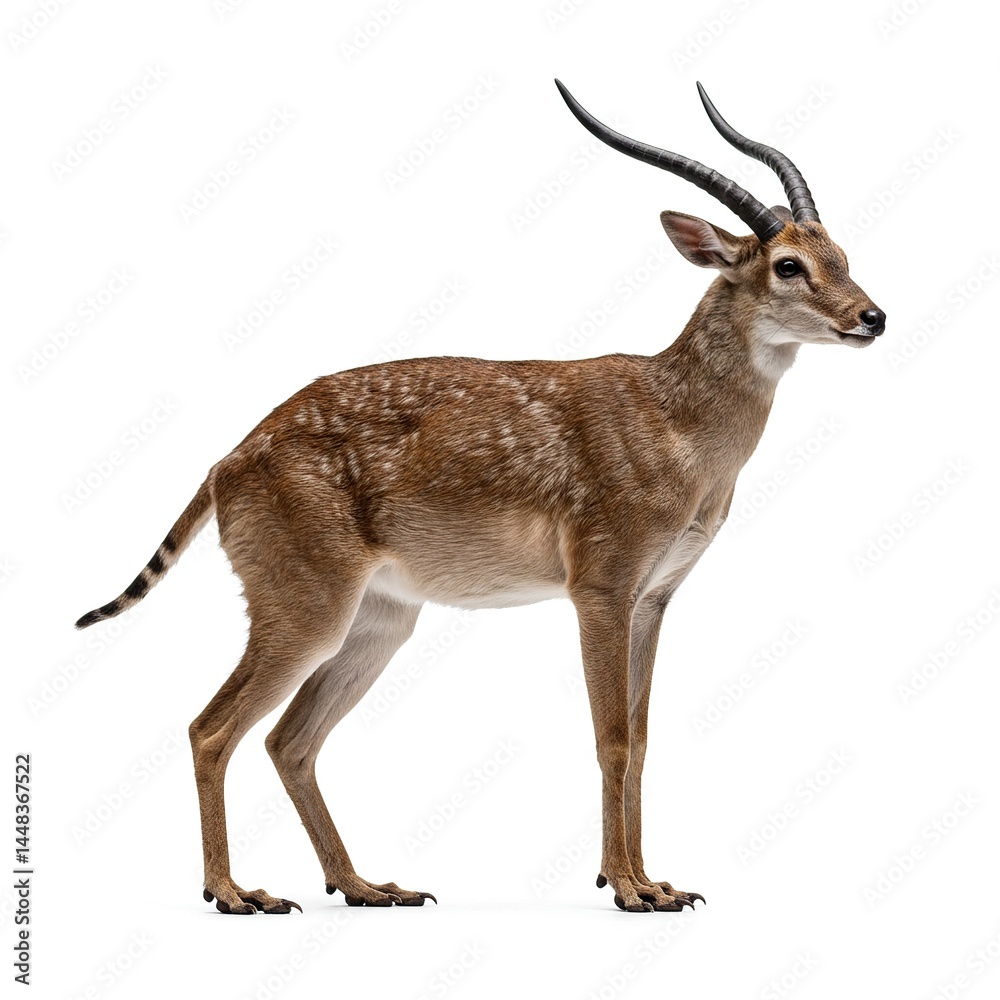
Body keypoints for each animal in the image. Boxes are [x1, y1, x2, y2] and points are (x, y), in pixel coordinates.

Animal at [75, 80, 885, 914]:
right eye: (788, 265)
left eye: (842, 256)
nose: (872, 317)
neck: (674, 416)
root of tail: (228, 459)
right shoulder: (601, 591)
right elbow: (612, 737)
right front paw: (628, 890)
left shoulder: (654, 600)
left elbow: (642, 736)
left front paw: (656, 881)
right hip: (305, 613)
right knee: (212, 729)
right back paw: (237, 894)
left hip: (377, 622)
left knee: (288, 740)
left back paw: (365, 886)